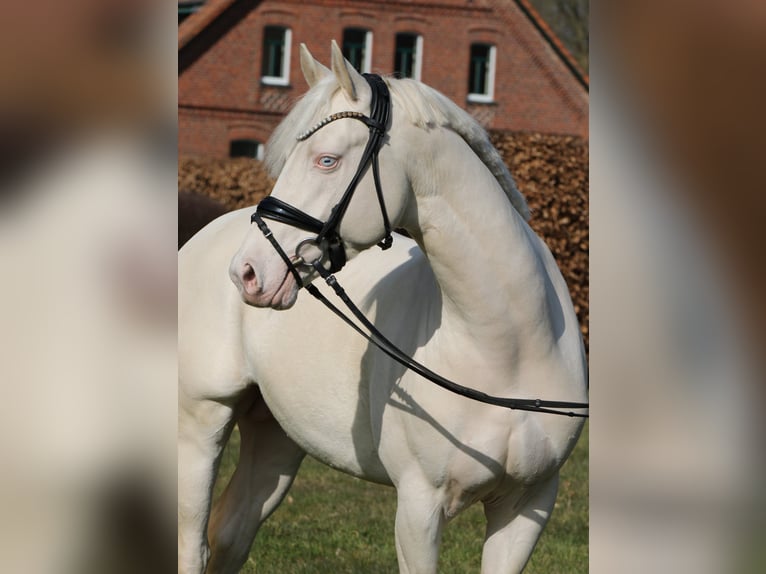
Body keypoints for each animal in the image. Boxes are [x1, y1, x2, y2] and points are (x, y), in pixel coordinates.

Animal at [180, 41, 588, 574]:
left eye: (327, 159)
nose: (249, 272)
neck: (509, 350)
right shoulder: (419, 505)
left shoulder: (527, 506)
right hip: (201, 421)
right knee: (195, 542)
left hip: (275, 437)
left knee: (231, 533)